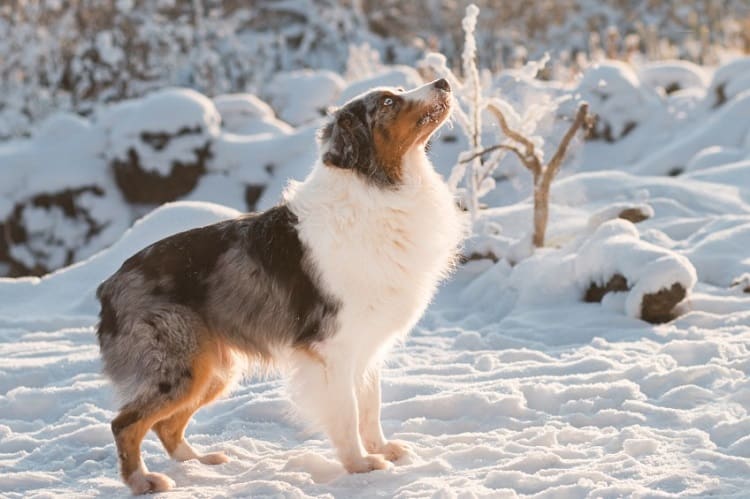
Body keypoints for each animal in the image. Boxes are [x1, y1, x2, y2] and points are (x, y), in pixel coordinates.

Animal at [97, 79, 468, 496]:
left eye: (400, 90)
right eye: (389, 102)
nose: (443, 82)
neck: (376, 187)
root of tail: (109, 286)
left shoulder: (367, 346)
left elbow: (370, 407)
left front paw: (382, 449)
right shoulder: (332, 348)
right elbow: (348, 413)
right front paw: (360, 466)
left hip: (213, 370)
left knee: (166, 425)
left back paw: (200, 464)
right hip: (179, 366)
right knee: (126, 423)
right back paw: (144, 481)